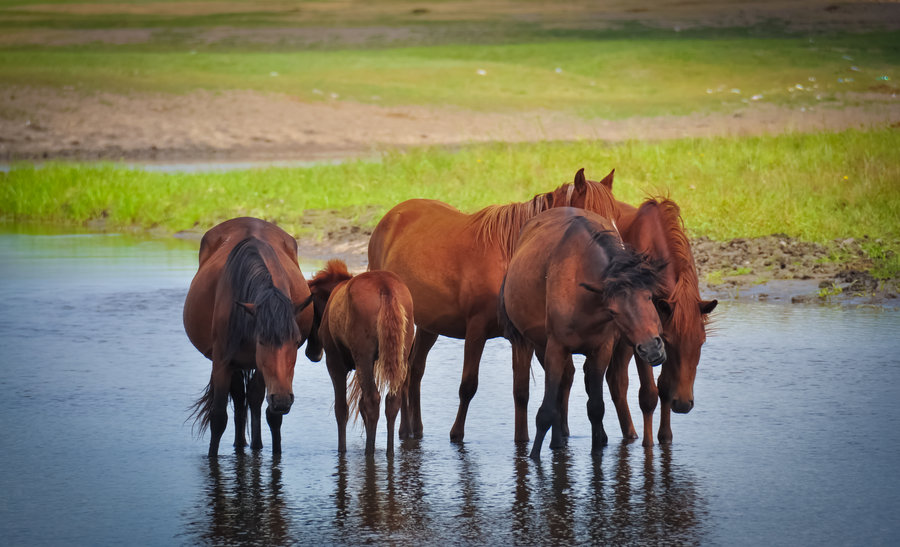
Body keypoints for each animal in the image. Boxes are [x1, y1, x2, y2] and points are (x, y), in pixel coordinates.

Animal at [181, 216, 318, 456]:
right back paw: (240, 444)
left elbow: (269, 412)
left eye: (295, 341)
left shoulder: (263, 369)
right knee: (238, 397)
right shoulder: (222, 362)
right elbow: (218, 418)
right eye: (261, 340)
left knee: (250, 398)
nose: (282, 400)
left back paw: (253, 444)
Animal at [304, 260, 414, 456]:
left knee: (373, 400)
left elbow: (342, 409)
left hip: (363, 357)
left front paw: (342, 450)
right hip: (401, 356)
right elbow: (361, 405)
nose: (312, 353)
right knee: (392, 400)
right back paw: (389, 452)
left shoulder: (335, 362)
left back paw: (369, 451)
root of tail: (386, 290)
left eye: (311, 310)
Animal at [368, 169, 624, 444]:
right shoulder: (477, 329)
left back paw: (413, 429)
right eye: (593, 219)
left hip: (429, 325)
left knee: (414, 371)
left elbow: (528, 389)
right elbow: (469, 385)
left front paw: (528, 438)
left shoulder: (527, 338)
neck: (512, 254)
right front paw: (457, 434)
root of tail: (392, 216)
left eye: (616, 217)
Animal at [500, 208, 668, 460]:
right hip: (541, 346)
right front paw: (534, 457)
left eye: (649, 296)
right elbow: (546, 411)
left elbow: (596, 407)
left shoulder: (601, 349)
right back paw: (556, 441)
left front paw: (597, 449)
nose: (651, 349)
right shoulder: (556, 347)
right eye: (614, 310)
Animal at [604, 199, 716, 448]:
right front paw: (648, 446)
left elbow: (664, 387)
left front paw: (666, 438)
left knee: (617, 380)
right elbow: (648, 395)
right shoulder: (645, 342)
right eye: (669, 341)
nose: (683, 404)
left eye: (701, 342)